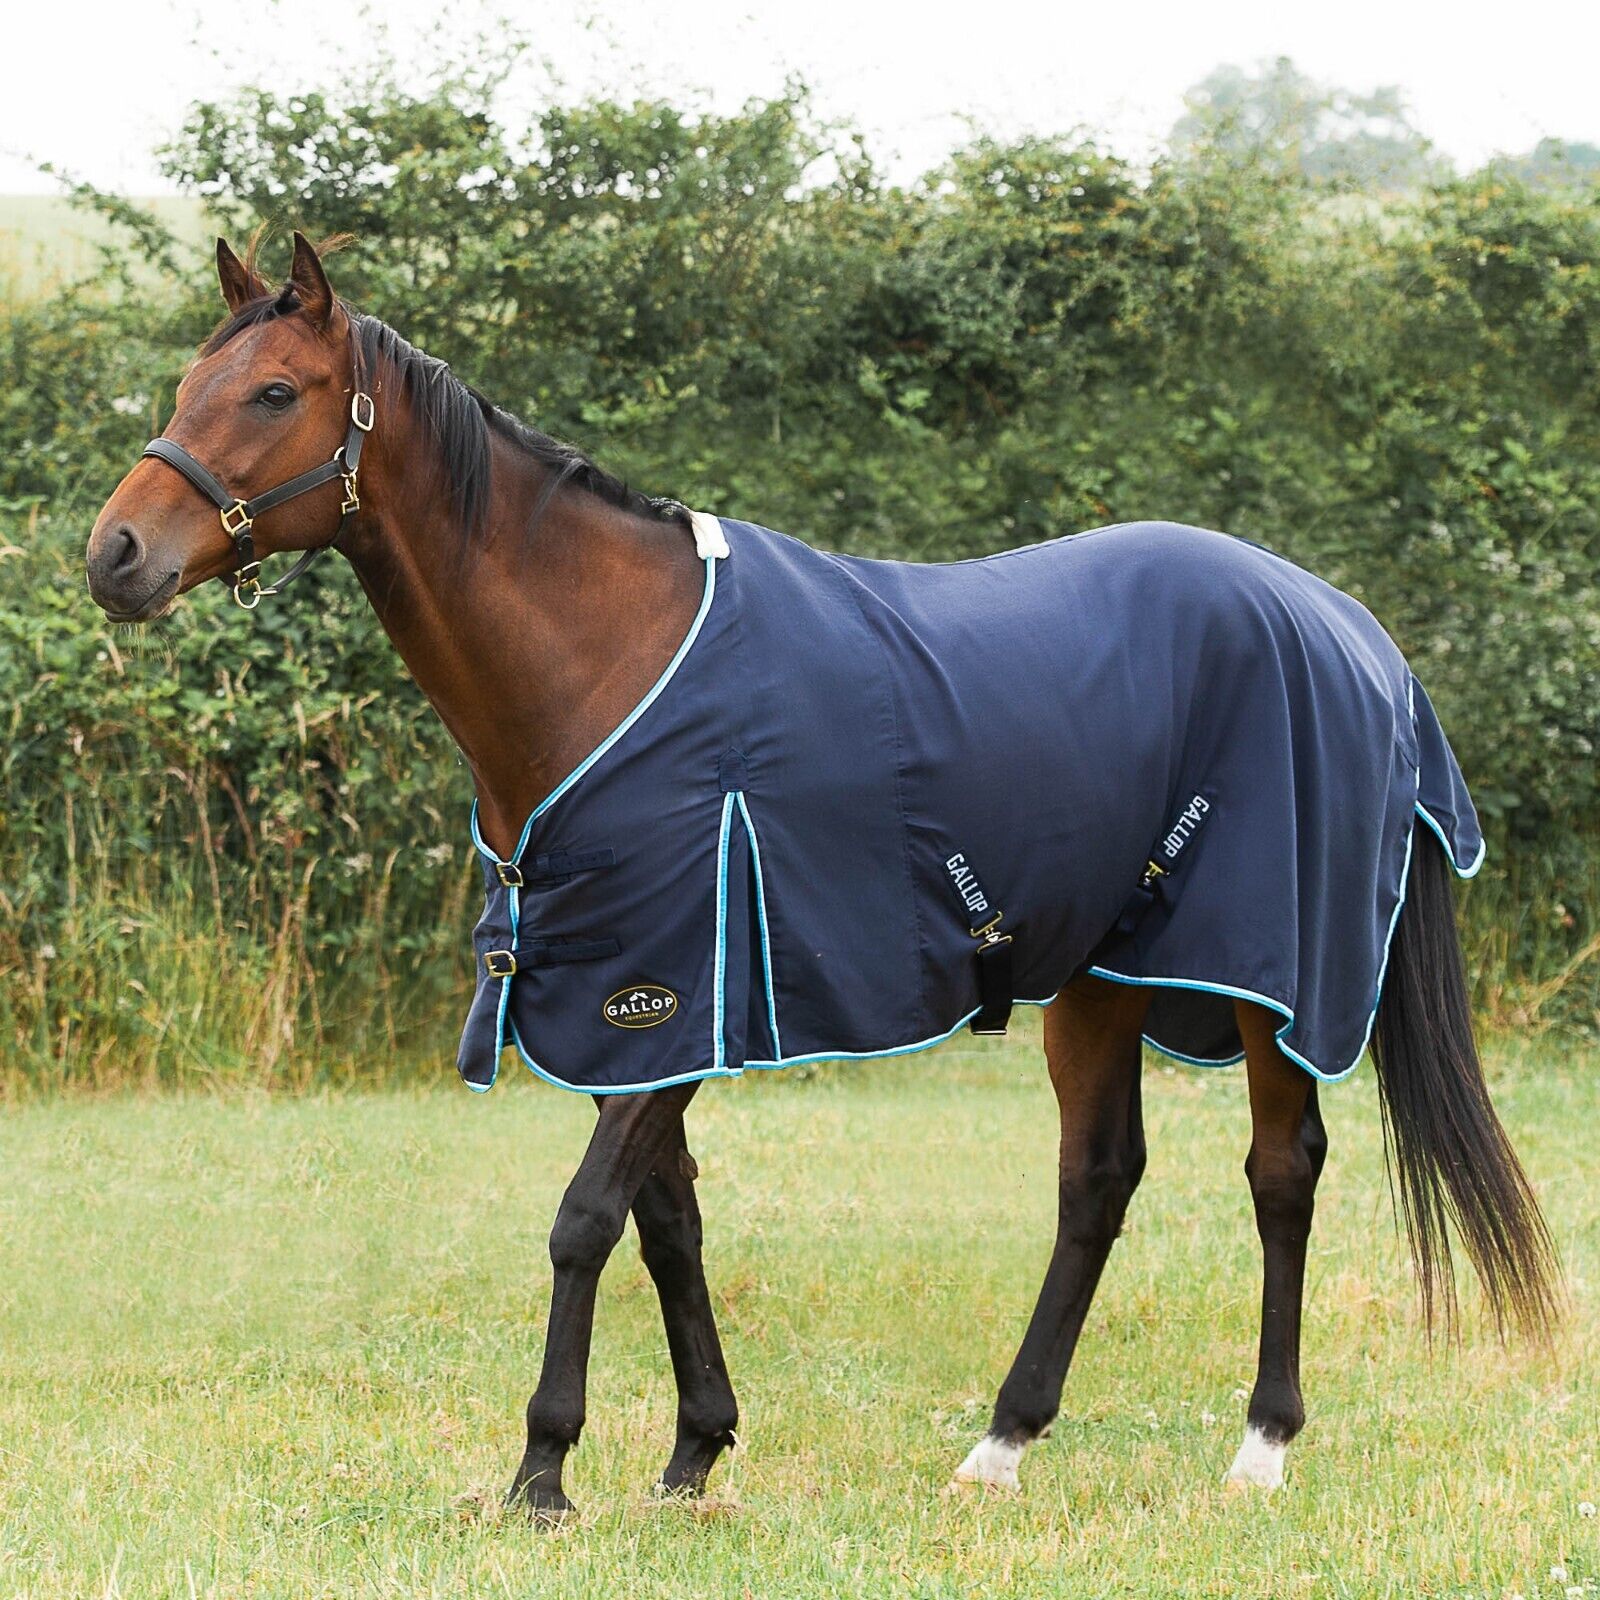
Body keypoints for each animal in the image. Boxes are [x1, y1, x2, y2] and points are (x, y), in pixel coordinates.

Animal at [85, 233, 1560, 1518]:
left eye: (274, 392)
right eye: (186, 388)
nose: (115, 556)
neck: (601, 657)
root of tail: (1350, 627)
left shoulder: (664, 990)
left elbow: (585, 1220)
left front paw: (544, 1472)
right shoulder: (658, 999)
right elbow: (668, 1222)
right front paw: (692, 1454)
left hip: (1266, 974)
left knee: (1280, 1171)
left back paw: (1259, 1446)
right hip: (1102, 971)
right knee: (1098, 1180)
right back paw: (1001, 1443)